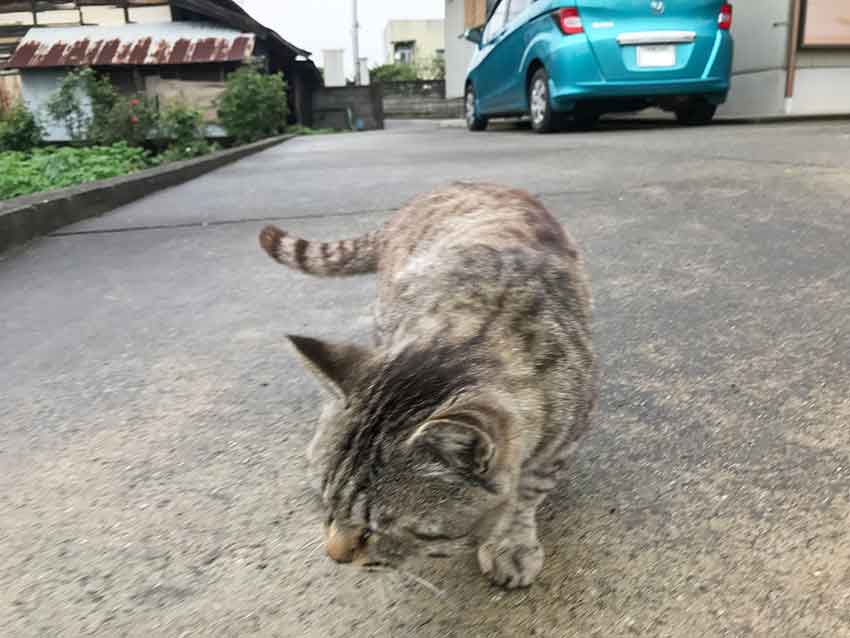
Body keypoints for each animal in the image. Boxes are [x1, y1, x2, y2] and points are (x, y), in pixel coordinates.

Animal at [259, 182, 596, 588]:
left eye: (374, 530)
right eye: (328, 504)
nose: (334, 555)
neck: (483, 328)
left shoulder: (564, 437)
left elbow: (527, 494)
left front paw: (511, 541)